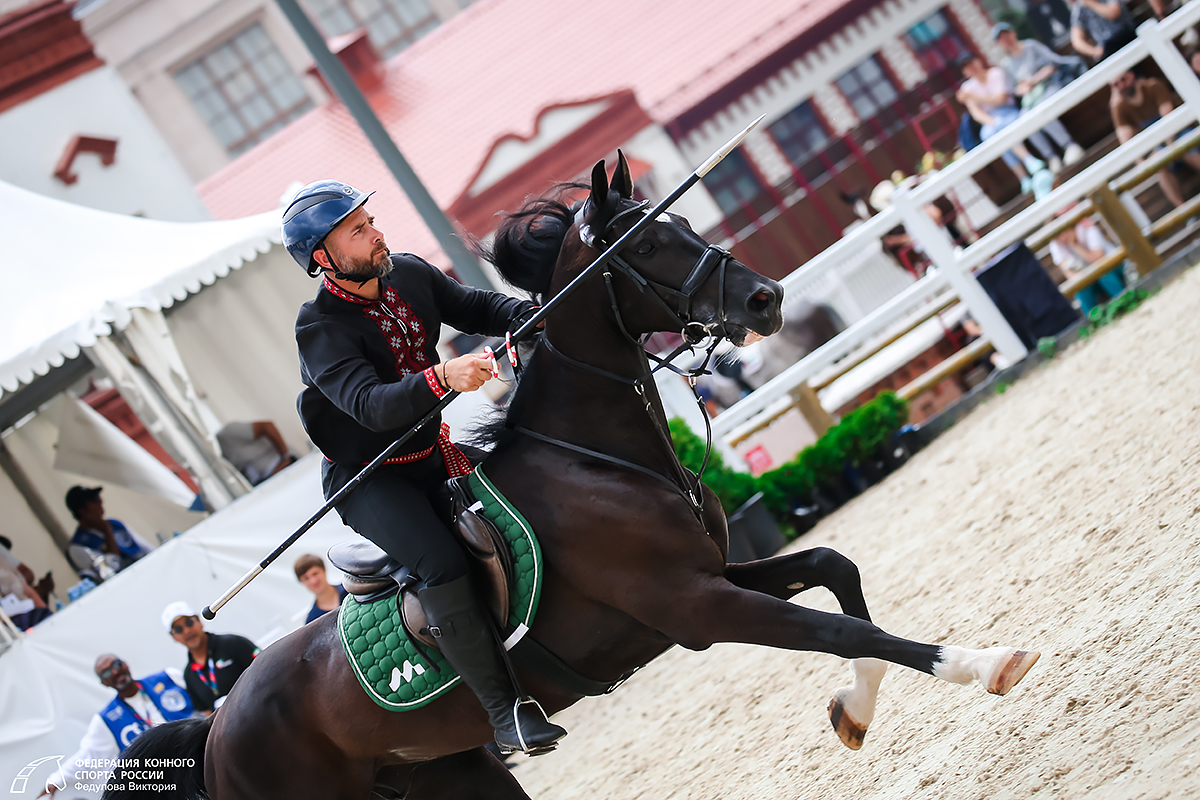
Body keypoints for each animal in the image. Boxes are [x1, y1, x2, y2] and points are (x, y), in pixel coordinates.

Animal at [108, 153, 1038, 800]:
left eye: (682, 220)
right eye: (647, 242)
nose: (767, 300)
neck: (597, 457)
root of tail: (219, 721)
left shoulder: (709, 580)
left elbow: (833, 574)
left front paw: (856, 711)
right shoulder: (698, 605)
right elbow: (843, 632)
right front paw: (982, 662)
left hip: (449, 776)